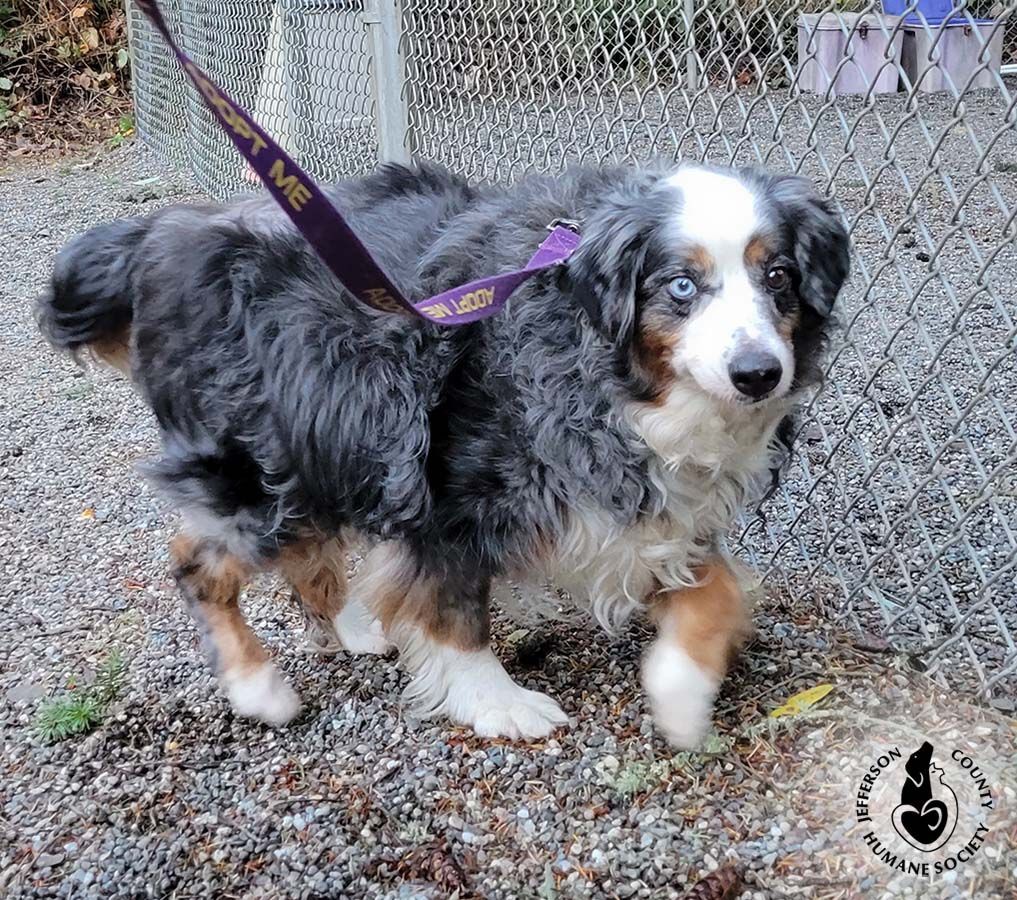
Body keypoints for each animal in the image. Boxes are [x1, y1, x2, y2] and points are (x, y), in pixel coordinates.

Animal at [35, 159, 850, 744]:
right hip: (263, 469)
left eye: (778, 276)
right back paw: (257, 687)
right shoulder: (447, 494)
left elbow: (717, 591)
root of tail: (160, 235)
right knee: (198, 561)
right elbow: (453, 611)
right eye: (681, 285)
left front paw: (680, 695)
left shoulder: (652, 505)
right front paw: (497, 702)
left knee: (309, 556)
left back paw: (352, 626)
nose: (758, 374)